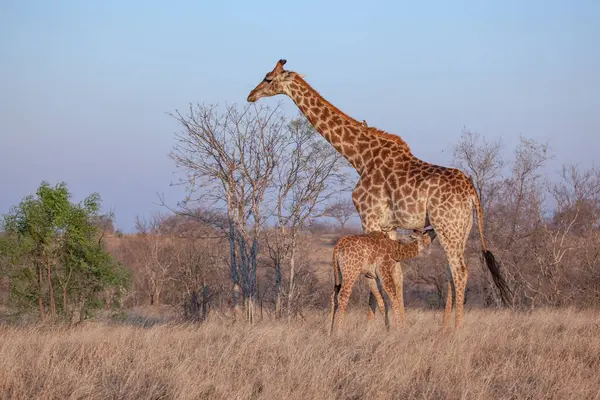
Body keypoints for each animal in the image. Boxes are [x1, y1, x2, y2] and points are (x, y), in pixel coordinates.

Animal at [247, 59, 510, 328]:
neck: (360, 157)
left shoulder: (369, 217)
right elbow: (396, 274)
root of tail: (472, 191)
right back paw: (445, 327)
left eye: (268, 79)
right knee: (451, 271)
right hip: (461, 229)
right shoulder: (389, 225)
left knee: (460, 271)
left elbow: (375, 278)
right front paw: (396, 325)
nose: (251, 96)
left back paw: (457, 329)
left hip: (447, 226)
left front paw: (374, 327)